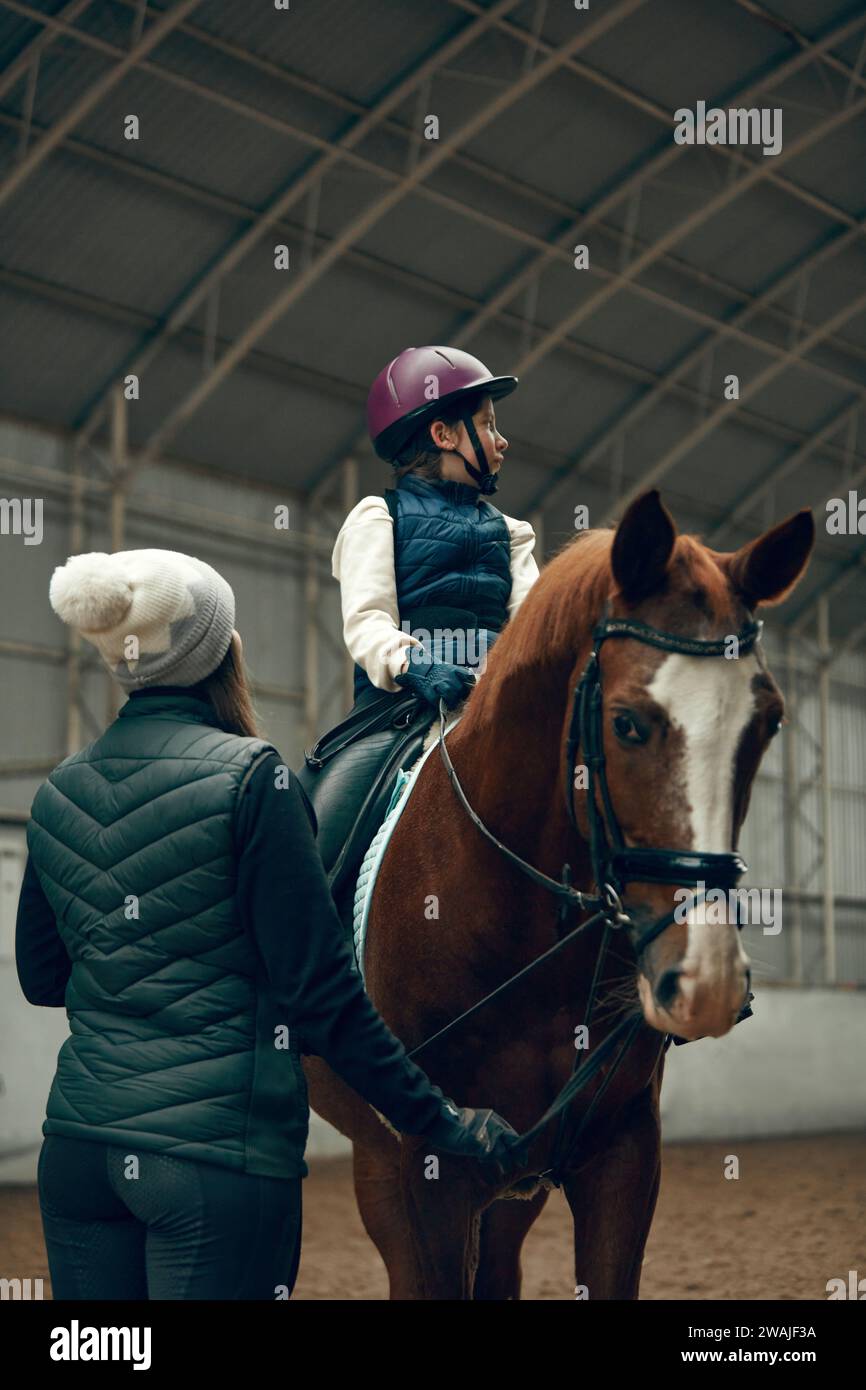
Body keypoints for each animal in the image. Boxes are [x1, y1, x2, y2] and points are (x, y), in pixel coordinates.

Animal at [304, 492, 811, 1301]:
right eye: (627, 723)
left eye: (766, 724)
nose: (705, 982)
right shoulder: (428, 1171)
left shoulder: (621, 1156)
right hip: (380, 1164)